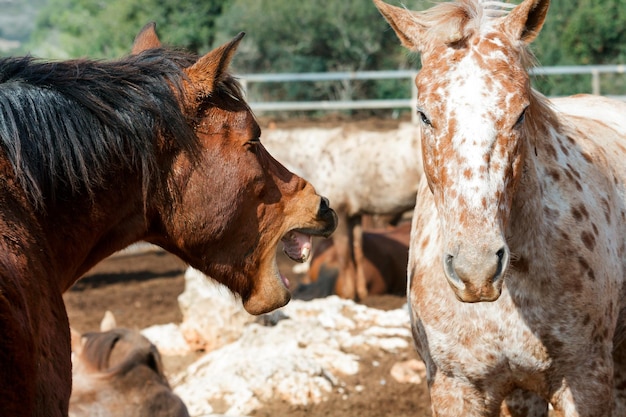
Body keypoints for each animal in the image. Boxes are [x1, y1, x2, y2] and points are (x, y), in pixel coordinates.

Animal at [260, 122, 422, 300]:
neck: (317, 159)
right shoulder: (354, 216)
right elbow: (357, 252)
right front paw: (361, 293)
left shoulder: (341, 213)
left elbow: (345, 255)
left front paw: (348, 294)